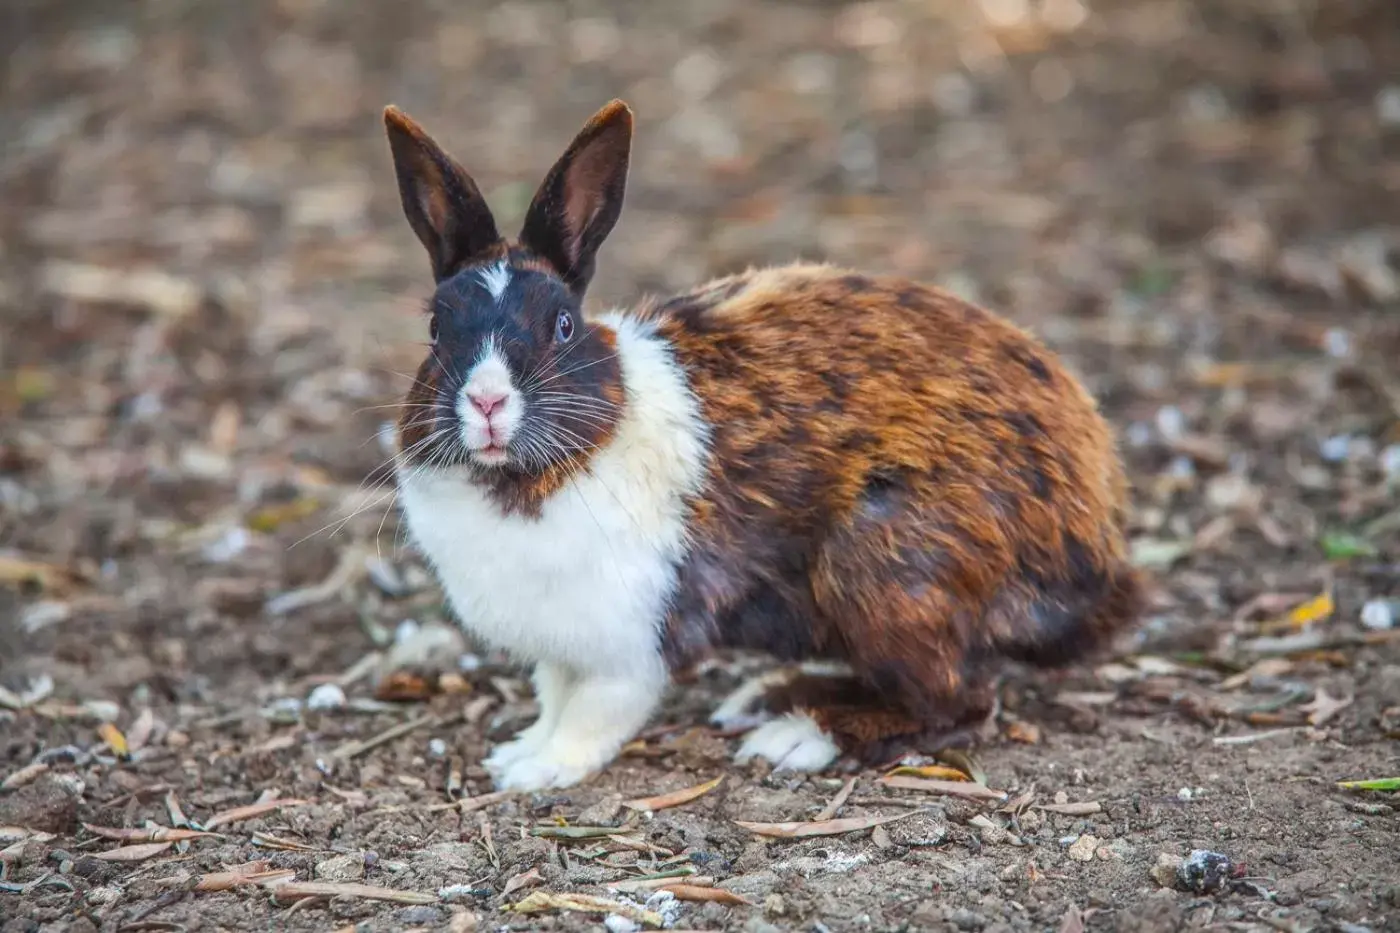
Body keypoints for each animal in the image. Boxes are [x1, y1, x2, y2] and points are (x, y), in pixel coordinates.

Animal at [380, 98, 1136, 790]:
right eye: (436, 329)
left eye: (563, 326)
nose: (486, 403)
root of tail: (1093, 547)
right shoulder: (559, 648)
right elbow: (553, 697)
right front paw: (518, 752)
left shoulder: (631, 644)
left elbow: (592, 713)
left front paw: (537, 771)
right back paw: (767, 696)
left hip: (885, 569)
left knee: (958, 701)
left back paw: (796, 735)